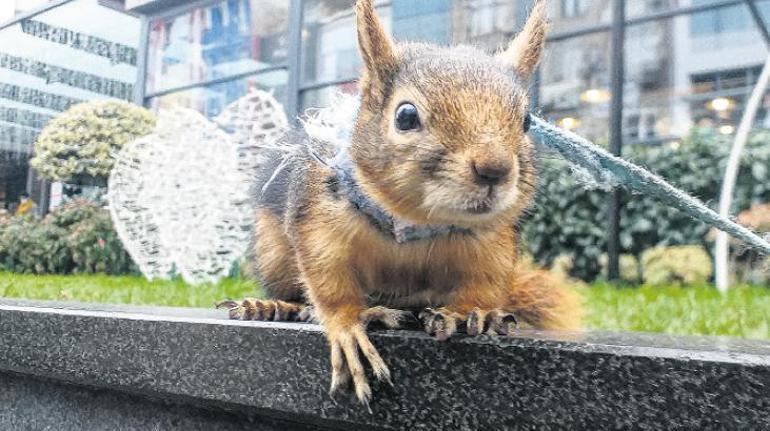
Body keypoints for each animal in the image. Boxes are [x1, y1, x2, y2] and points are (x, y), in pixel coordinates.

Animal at [214, 0, 576, 406]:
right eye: (405, 116)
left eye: (527, 120)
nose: (494, 168)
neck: (415, 221)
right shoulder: (317, 221)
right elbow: (328, 281)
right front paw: (348, 326)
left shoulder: (492, 242)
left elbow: (484, 282)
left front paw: (470, 311)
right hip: (273, 253)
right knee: (289, 287)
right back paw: (277, 305)